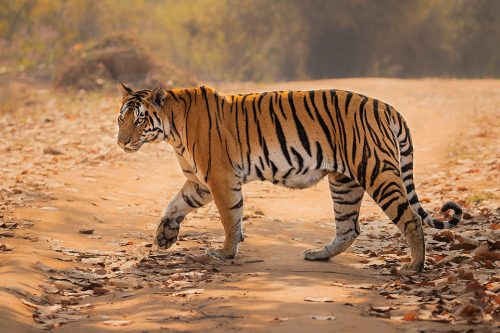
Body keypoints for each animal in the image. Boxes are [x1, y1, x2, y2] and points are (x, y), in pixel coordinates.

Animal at [116, 81, 460, 274]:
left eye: (140, 120)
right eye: (122, 119)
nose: (121, 142)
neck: (171, 131)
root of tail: (387, 107)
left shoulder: (220, 178)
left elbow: (230, 218)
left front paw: (225, 252)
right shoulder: (200, 182)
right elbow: (176, 204)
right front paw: (164, 235)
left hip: (376, 171)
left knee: (410, 218)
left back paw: (414, 267)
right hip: (344, 182)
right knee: (348, 227)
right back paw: (318, 255)